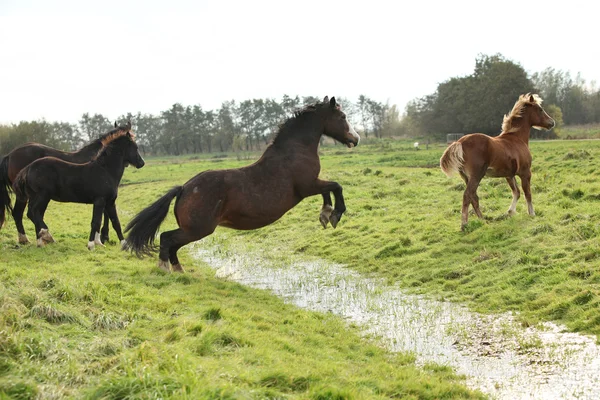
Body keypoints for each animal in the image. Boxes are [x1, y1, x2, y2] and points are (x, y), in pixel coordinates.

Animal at [13, 120, 145, 248]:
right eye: (135, 147)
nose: (141, 163)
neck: (105, 170)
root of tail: (28, 168)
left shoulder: (110, 202)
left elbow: (115, 222)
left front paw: (123, 244)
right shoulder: (100, 200)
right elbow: (95, 222)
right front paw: (91, 245)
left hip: (37, 197)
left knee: (34, 213)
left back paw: (41, 241)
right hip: (42, 196)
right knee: (32, 212)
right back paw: (46, 235)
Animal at [124, 96, 358, 272]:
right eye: (342, 116)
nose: (355, 139)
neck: (294, 151)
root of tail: (184, 189)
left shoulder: (313, 185)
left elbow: (329, 191)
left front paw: (326, 214)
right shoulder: (307, 187)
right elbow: (336, 186)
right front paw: (335, 215)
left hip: (193, 229)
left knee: (172, 244)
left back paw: (179, 271)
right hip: (198, 229)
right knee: (167, 239)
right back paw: (165, 269)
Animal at [438, 94, 556, 230]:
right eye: (540, 109)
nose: (552, 122)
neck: (517, 139)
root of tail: (460, 142)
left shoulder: (509, 175)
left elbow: (517, 192)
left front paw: (510, 212)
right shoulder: (525, 172)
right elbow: (528, 193)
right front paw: (532, 213)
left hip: (466, 177)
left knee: (474, 196)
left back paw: (482, 220)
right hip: (476, 175)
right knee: (467, 195)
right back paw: (464, 224)